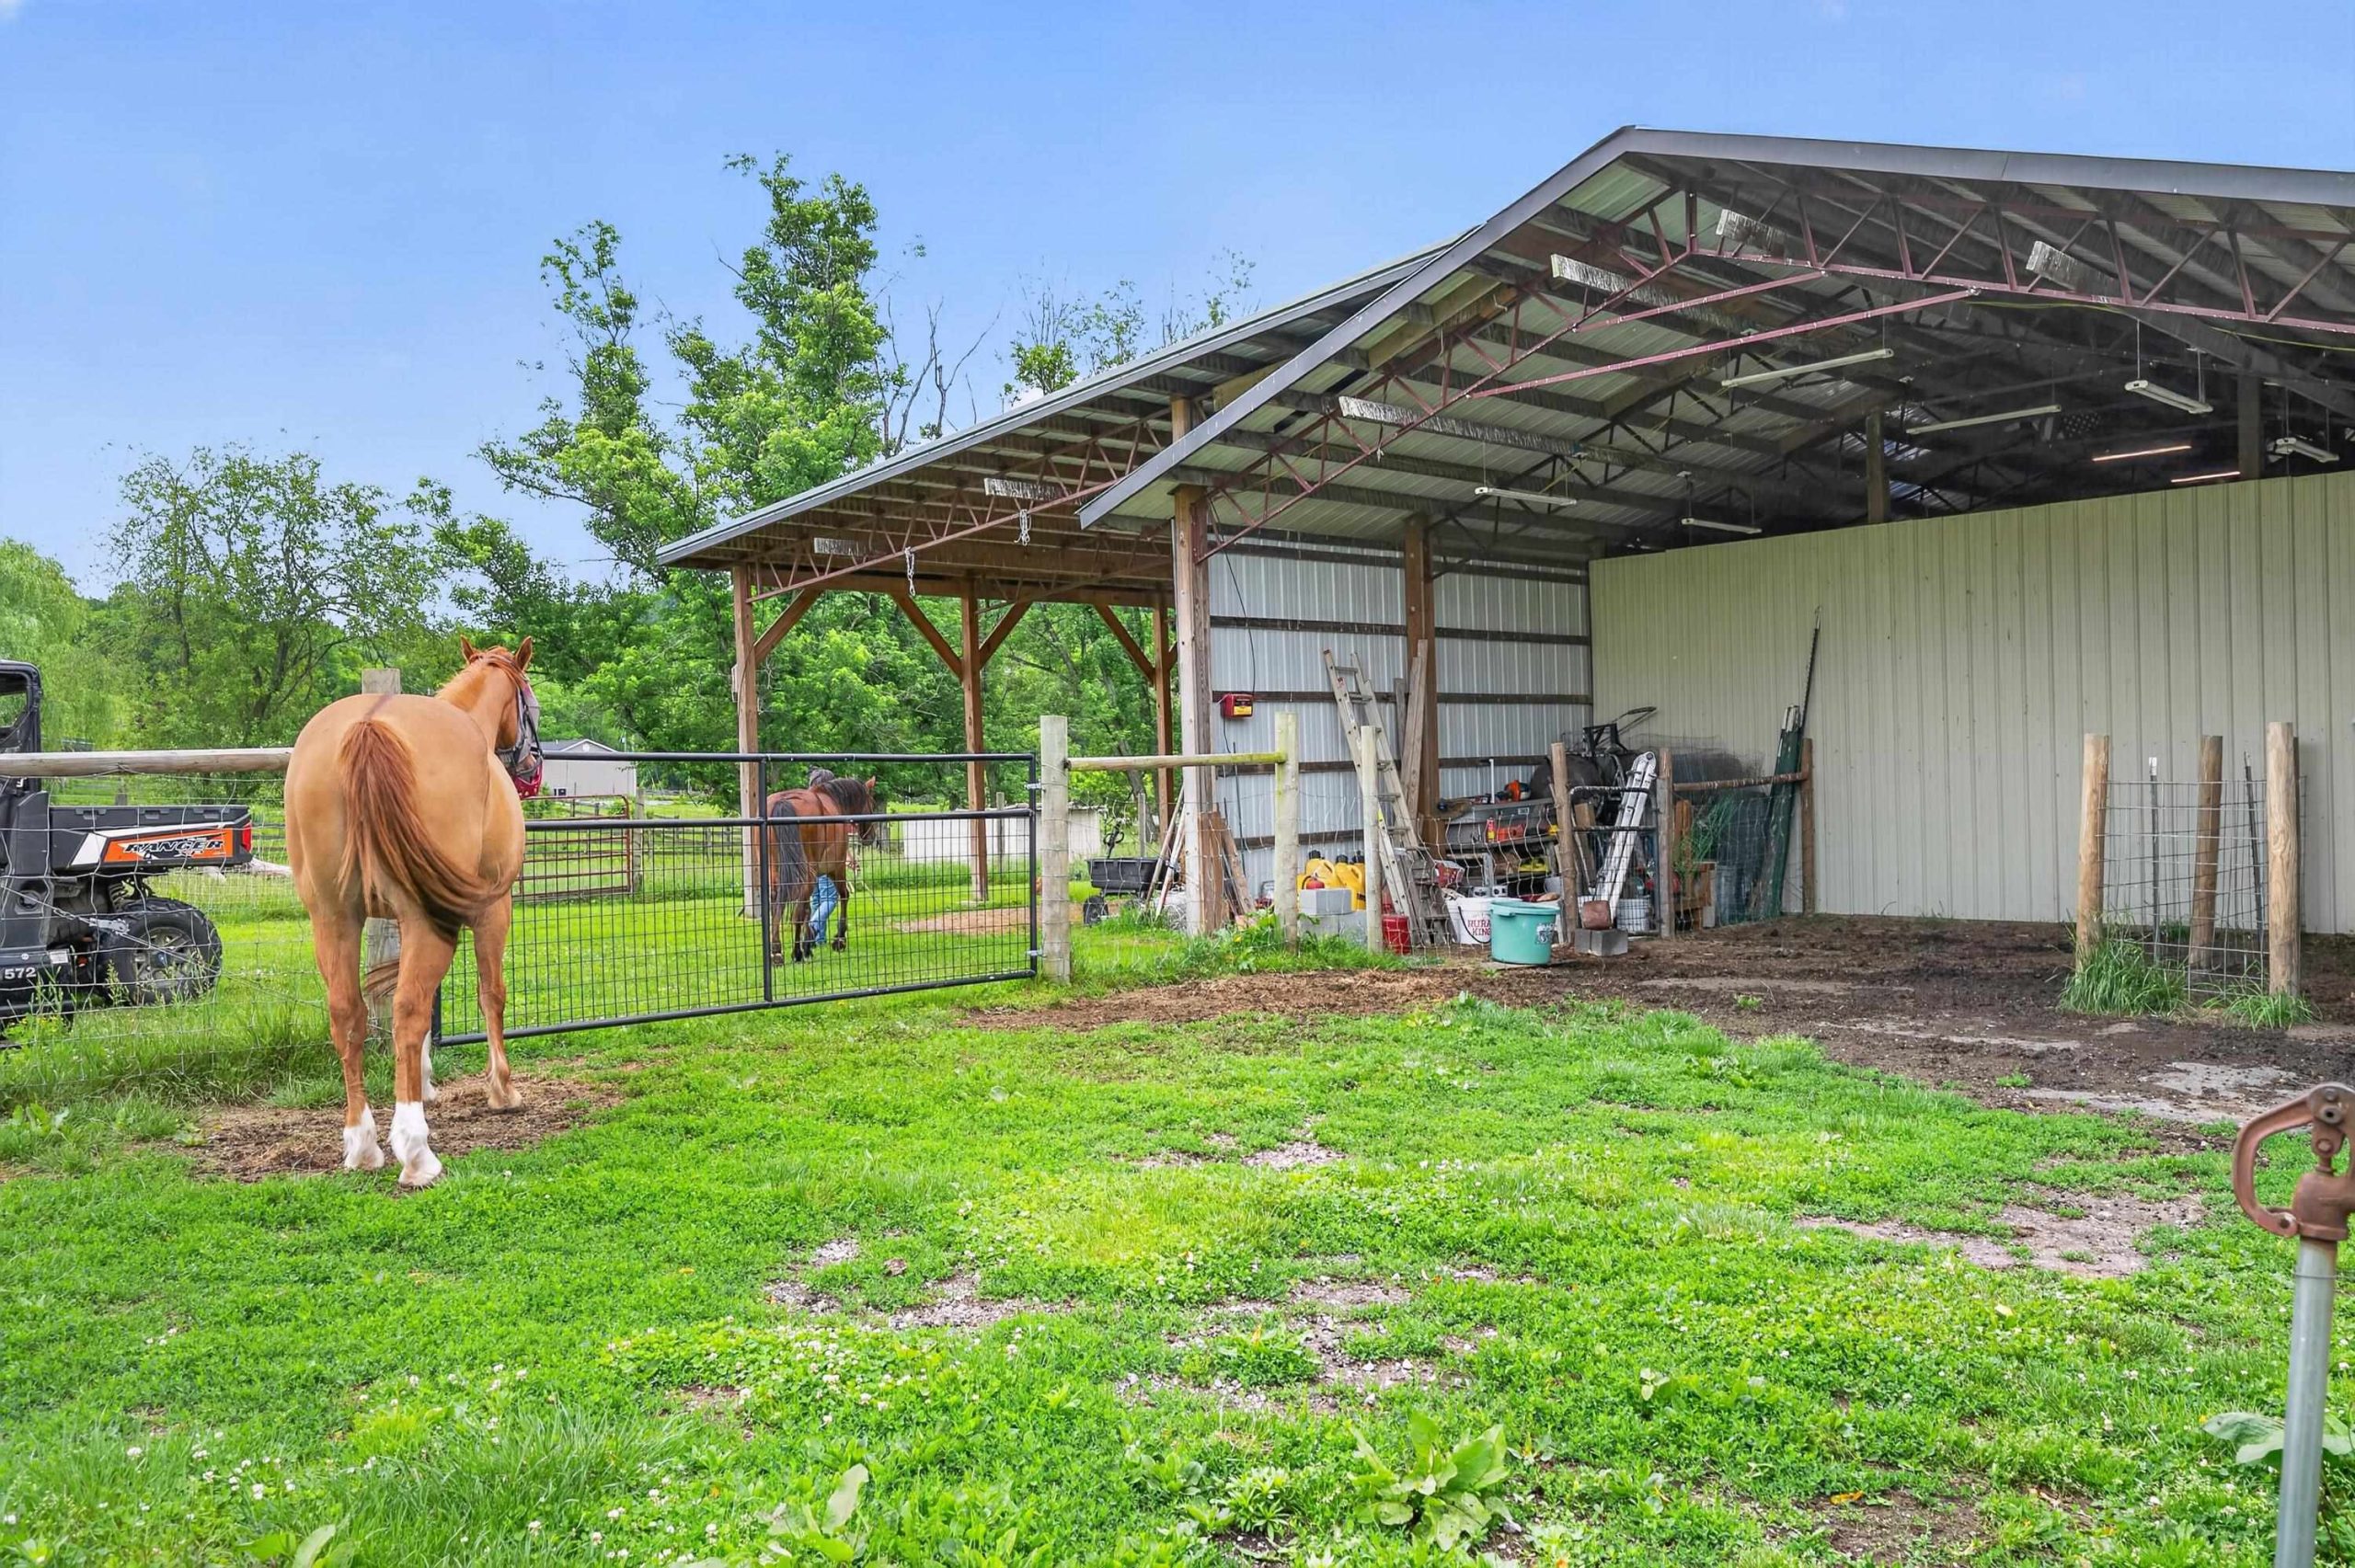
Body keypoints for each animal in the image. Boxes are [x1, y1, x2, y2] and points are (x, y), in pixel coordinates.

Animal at [284, 638, 543, 1187]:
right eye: (529, 702)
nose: (533, 769)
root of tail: (368, 725)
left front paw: (422, 1083)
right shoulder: (492, 909)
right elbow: (491, 994)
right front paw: (502, 1089)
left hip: (333, 918)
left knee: (349, 1013)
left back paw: (362, 1144)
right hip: (430, 915)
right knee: (406, 1009)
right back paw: (415, 1151)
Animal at [762, 773, 881, 963]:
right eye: (873, 803)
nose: (871, 837)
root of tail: (784, 801)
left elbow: (810, 909)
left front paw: (809, 943)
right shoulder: (837, 868)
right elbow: (844, 896)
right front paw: (839, 939)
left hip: (775, 873)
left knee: (778, 907)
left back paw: (777, 950)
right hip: (807, 875)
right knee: (797, 913)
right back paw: (796, 953)